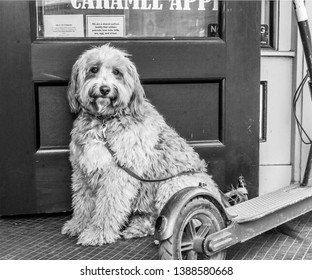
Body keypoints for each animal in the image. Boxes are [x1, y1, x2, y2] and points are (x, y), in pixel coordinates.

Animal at [61, 43, 221, 245]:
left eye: (117, 72)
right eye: (93, 69)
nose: (105, 89)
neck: (105, 121)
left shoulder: (119, 172)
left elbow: (108, 205)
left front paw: (98, 232)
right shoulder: (83, 170)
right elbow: (82, 202)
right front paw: (78, 224)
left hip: (173, 184)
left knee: (181, 219)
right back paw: (138, 227)